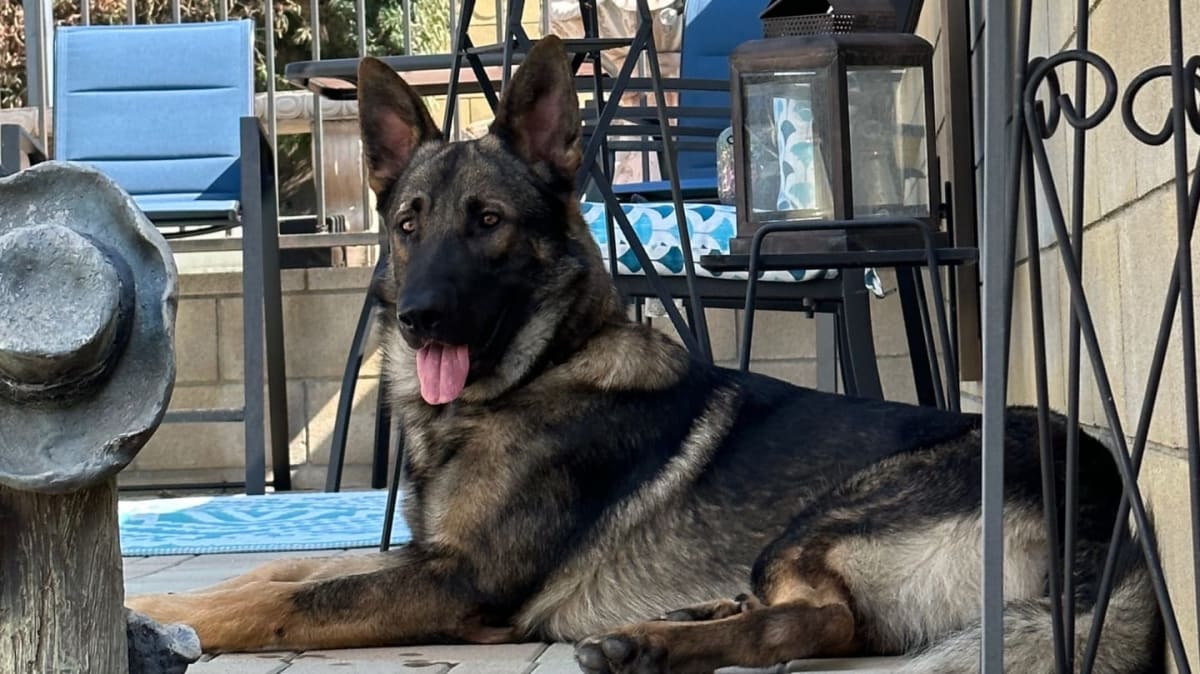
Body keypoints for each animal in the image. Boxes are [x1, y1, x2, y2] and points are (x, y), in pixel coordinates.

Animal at [126, 35, 1162, 673]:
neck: (539, 371)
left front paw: (160, 623)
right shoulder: (416, 554)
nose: (417, 320)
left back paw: (655, 645)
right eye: (410, 224)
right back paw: (681, 619)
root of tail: (1110, 509)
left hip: (833, 512)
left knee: (822, 618)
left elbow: (284, 603)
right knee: (818, 617)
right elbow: (274, 575)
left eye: (488, 223)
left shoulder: (455, 579)